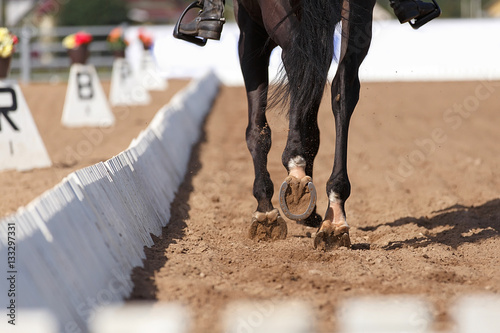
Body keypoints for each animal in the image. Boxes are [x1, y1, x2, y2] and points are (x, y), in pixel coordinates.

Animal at [236, 0, 376, 248]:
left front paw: (265, 209)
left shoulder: (249, 28)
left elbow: (256, 129)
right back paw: (334, 218)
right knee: (343, 86)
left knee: (295, 57)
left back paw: (296, 173)